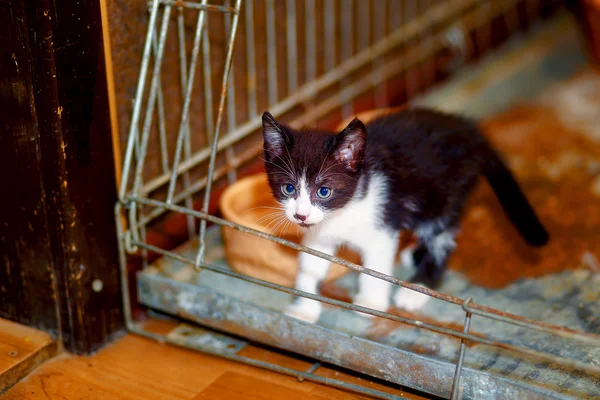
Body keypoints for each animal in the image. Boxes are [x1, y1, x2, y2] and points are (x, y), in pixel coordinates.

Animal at [262, 108, 548, 324]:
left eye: (323, 191)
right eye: (288, 188)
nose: (300, 215)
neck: (343, 211)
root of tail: (471, 132)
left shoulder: (382, 226)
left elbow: (376, 267)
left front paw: (370, 302)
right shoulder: (318, 233)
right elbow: (311, 265)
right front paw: (304, 307)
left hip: (443, 196)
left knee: (443, 237)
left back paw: (419, 288)